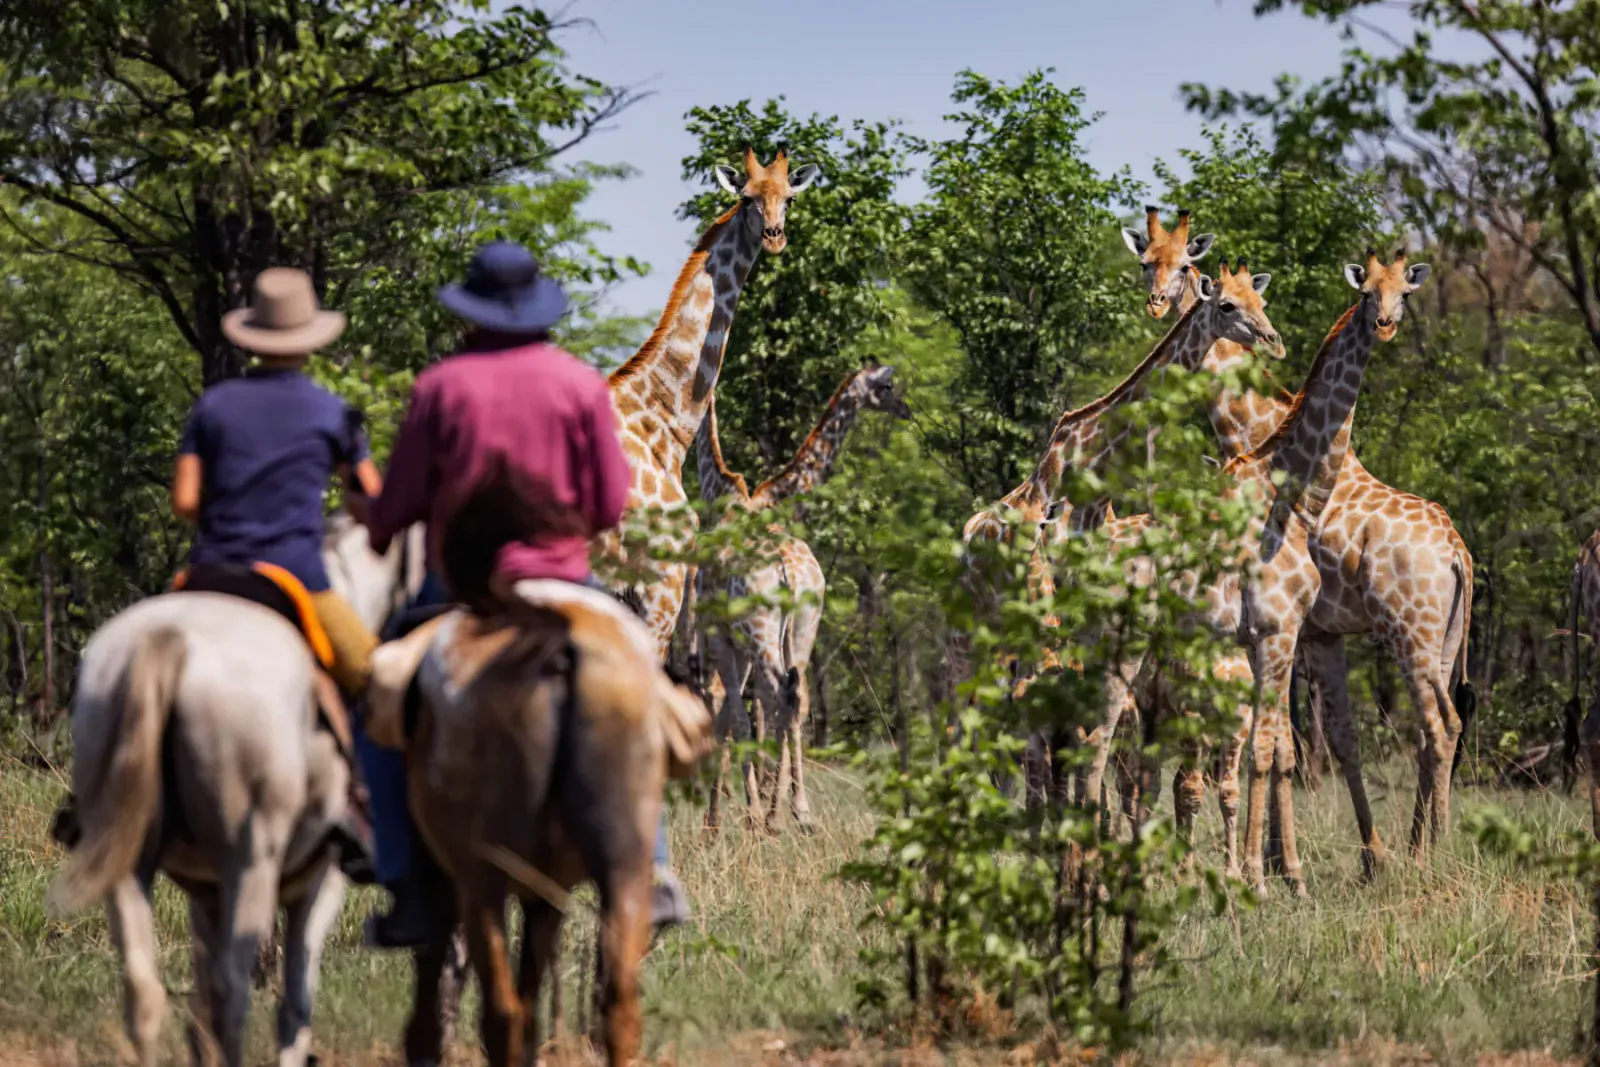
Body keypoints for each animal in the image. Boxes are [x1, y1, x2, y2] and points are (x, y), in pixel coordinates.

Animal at [690, 367, 910, 832]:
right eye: (885, 387)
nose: (905, 408)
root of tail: (787, 573)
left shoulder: (724, 633)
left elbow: (741, 711)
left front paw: (743, 813)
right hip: (803, 624)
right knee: (789, 696)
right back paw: (789, 813)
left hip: (758, 631)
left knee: (760, 697)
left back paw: (759, 814)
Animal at [1129, 212, 1474, 877]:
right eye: (1147, 260)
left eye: (1184, 264)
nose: (1158, 304)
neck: (1257, 431)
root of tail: (1458, 554)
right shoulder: (1312, 633)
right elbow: (1320, 743)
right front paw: (1306, 860)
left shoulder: (1300, 629)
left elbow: (1291, 746)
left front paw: (1281, 864)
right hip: (1440, 637)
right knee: (1435, 729)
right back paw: (1423, 846)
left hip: (1412, 630)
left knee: (1439, 725)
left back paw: (1430, 857)